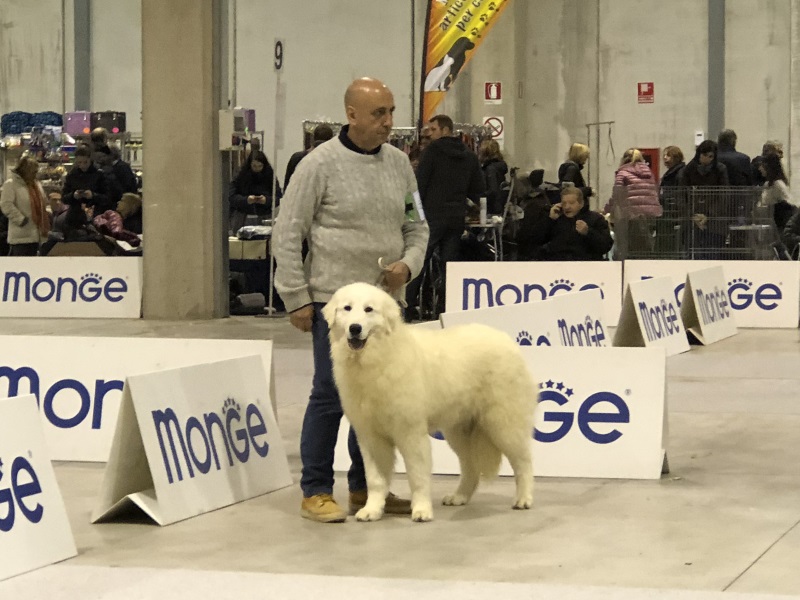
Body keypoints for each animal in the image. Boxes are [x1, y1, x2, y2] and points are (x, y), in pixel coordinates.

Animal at [323, 282, 537, 522]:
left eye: (369, 309)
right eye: (347, 308)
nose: (355, 328)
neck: (378, 359)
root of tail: (505, 339)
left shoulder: (411, 433)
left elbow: (417, 476)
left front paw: (421, 510)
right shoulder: (370, 437)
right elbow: (376, 480)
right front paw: (372, 510)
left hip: (503, 424)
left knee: (523, 462)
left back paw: (523, 499)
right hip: (459, 432)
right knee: (470, 467)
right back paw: (459, 496)